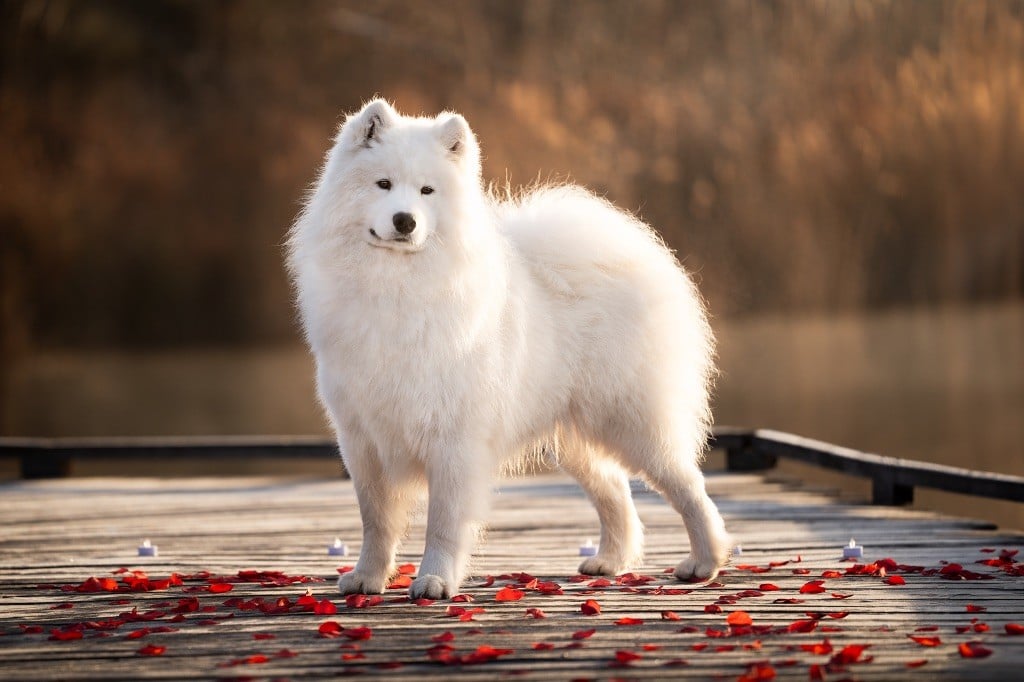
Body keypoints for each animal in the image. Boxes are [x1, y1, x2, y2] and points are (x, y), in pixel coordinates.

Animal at [288, 98, 733, 598]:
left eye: (427, 191)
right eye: (382, 184)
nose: (405, 220)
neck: (397, 286)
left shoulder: (454, 439)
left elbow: (443, 522)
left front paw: (434, 579)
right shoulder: (363, 439)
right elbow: (376, 520)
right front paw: (367, 576)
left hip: (633, 421)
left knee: (689, 487)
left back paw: (704, 561)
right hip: (579, 436)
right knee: (616, 493)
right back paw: (610, 561)